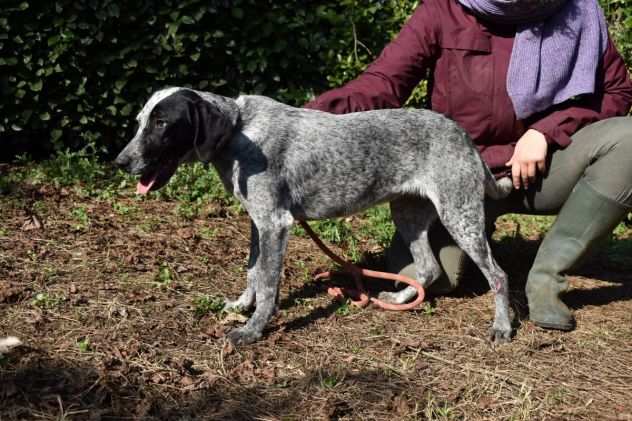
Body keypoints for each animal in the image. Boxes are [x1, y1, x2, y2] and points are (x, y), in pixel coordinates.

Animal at [117, 86, 512, 344]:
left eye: (162, 123)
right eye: (140, 121)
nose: (119, 162)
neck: (238, 130)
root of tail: (463, 135)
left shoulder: (275, 224)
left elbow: (267, 283)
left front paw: (254, 329)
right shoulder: (258, 223)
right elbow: (252, 272)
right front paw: (242, 306)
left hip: (460, 216)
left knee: (498, 275)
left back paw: (503, 326)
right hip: (407, 212)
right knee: (429, 268)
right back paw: (400, 300)